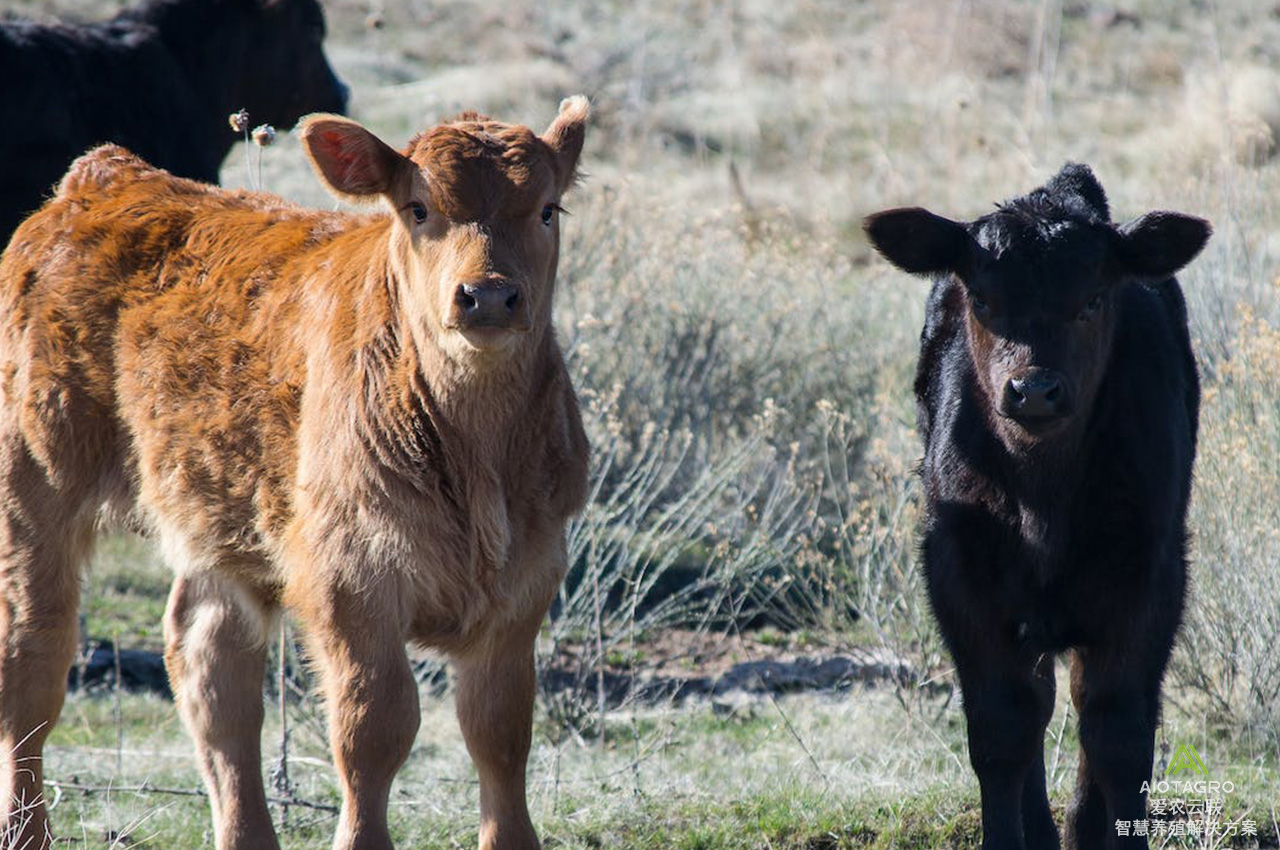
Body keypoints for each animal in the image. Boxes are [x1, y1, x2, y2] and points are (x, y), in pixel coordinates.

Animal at [0, 97, 588, 850]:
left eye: (546, 209)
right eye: (418, 208)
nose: (486, 297)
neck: (478, 455)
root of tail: (104, 176)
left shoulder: (526, 581)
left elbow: (500, 732)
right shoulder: (349, 580)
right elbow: (374, 728)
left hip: (220, 509)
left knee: (211, 665)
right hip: (33, 481)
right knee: (33, 662)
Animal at [860, 166, 1208, 850]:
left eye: (1093, 301)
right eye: (981, 300)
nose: (1035, 390)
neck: (1042, 500)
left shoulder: (1151, 576)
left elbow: (1120, 731)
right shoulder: (959, 574)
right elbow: (1002, 729)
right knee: (1039, 699)